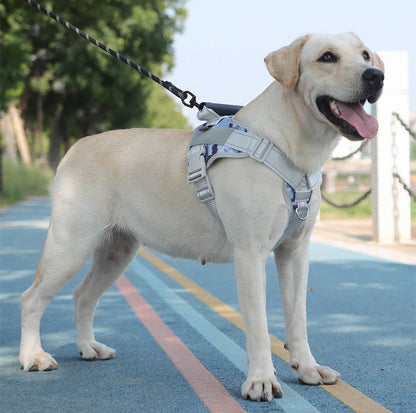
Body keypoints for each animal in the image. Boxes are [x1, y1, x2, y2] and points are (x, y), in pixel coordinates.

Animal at [19, 33, 384, 400]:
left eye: (365, 55)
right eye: (327, 57)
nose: (376, 76)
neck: (288, 145)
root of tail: (76, 146)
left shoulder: (294, 251)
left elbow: (299, 318)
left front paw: (307, 369)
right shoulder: (250, 253)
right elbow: (258, 326)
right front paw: (261, 381)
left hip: (116, 250)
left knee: (82, 295)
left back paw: (88, 347)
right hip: (71, 244)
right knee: (31, 298)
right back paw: (33, 356)